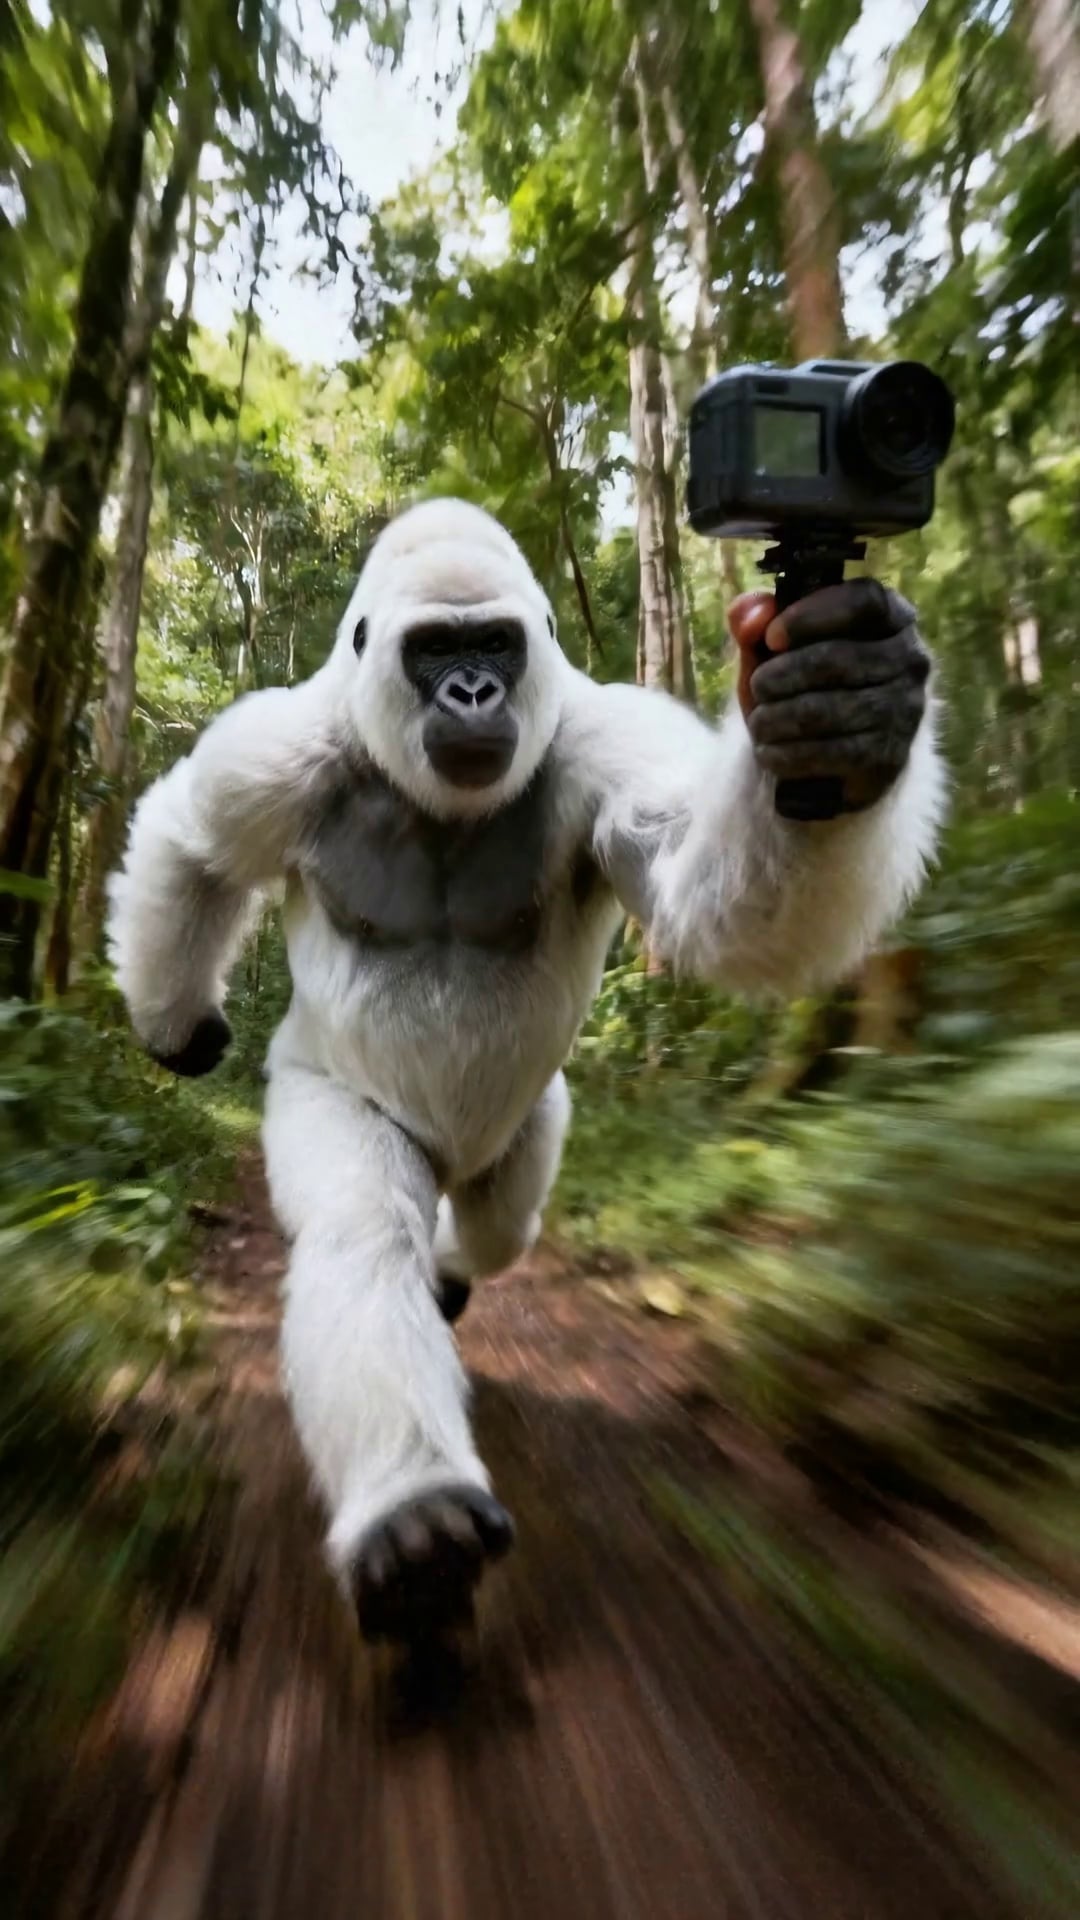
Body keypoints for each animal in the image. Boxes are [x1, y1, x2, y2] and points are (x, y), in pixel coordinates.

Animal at [107, 497, 944, 1644]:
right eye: (435, 651)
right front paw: (174, 1030)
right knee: (373, 1228)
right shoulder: (271, 753)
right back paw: (412, 1503)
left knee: (501, 1225)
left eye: (496, 645)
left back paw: (454, 1268)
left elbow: (704, 906)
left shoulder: (606, 740)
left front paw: (847, 717)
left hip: (526, 1130)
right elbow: (194, 842)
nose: (473, 692)